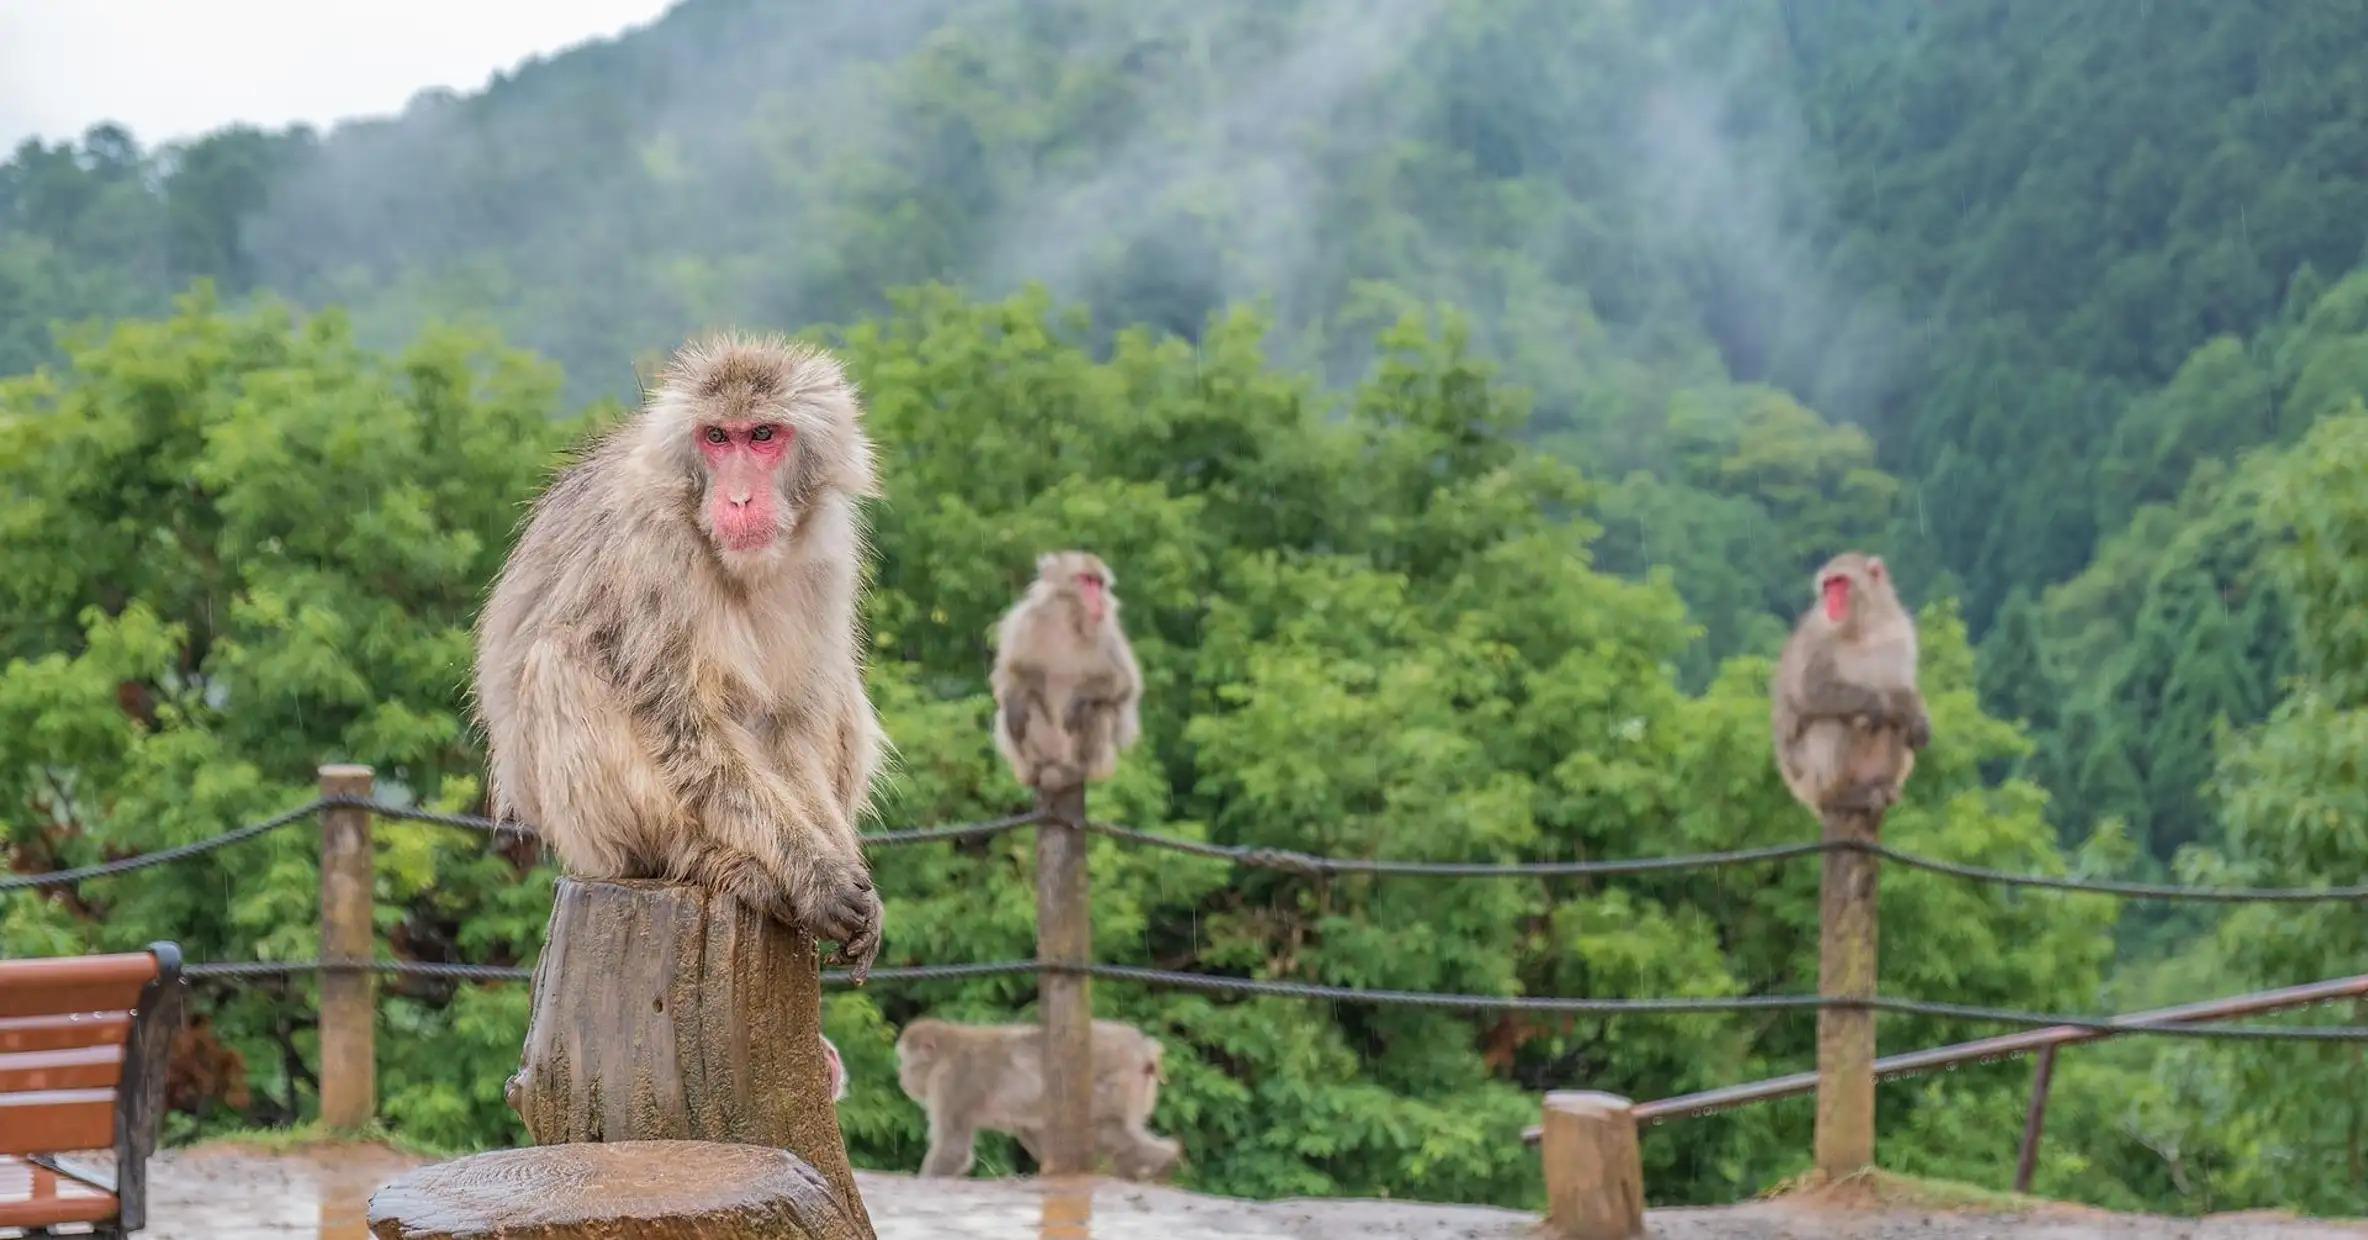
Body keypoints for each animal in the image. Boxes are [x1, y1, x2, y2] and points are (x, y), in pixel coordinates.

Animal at [474, 333, 889, 978]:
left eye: (762, 435)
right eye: (716, 437)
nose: (739, 498)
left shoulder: (828, 550)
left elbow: (792, 722)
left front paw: (840, 861)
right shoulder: (652, 546)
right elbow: (682, 726)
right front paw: (814, 873)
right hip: (585, 837)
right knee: (560, 658)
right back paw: (702, 857)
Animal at [895, 1018, 1181, 1182]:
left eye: (905, 1060)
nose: (902, 1077)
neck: (946, 1054)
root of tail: (1143, 1048)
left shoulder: (951, 1083)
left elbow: (953, 1149)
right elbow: (1034, 1131)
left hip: (1114, 1083)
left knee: (1108, 1130)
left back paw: (1160, 1164)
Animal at [991, 551, 1142, 792]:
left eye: (1099, 583)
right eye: (1087, 581)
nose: (1099, 600)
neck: (1067, 622)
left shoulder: (1106, 633)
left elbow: (1124, 683)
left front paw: (1079, 700)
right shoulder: (1026, 621)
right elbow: (1012, 670)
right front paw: (1015, 700)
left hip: (1095, 759)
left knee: (1098, 710)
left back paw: (1076, 769)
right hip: (1048, 744)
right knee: (1019, 707)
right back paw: (1034, 768)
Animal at [1770, 551, 1931, 816]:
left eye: (1841, 582)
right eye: (1827, 586)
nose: (1831, 601)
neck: (1864, 627)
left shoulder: (1901, 632)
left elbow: (1904, 688)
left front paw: (1916, 714)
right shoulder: (1817, 635)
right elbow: (1810, 693)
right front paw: (1881, 703)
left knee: (1898, 726)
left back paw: (1883, 787)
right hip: (1806, 781)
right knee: (1832, 721)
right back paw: (1840, 795)